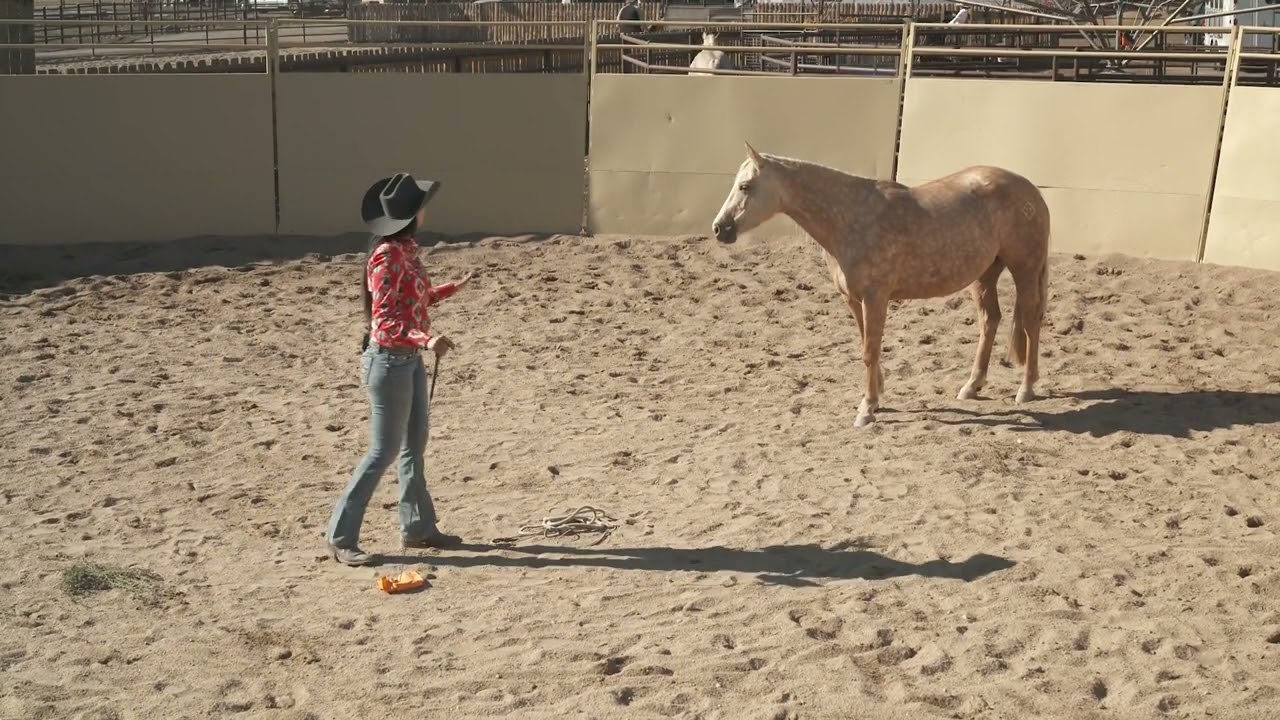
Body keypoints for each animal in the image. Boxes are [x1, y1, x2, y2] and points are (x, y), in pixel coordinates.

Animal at [711, 143, 1051, 428]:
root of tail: (1031, 190)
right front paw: (877, 397)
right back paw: (972, 386)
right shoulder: (853, 299)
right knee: (990, 320)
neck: (849, 218)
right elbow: (867, 346)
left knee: (1031, 321)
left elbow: (869, 351)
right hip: (984, 275)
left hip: (1024, 269)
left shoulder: (875, 298)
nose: (719, 228)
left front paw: (867, 409)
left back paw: (1026, 389)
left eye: (745, 186)